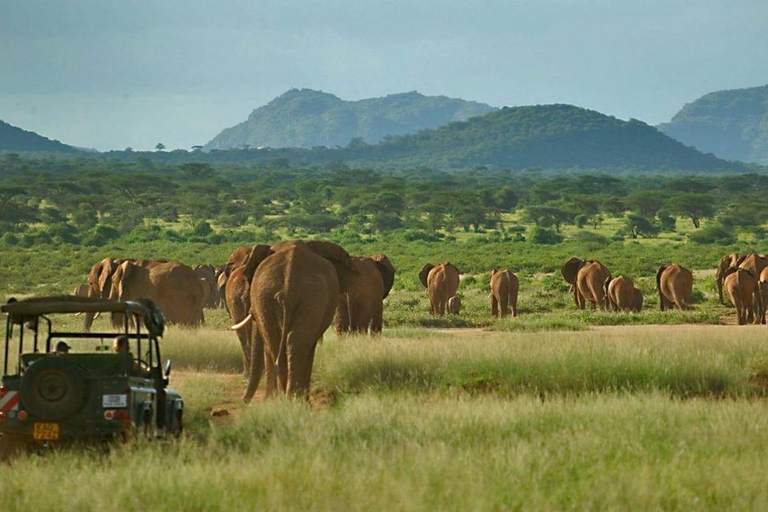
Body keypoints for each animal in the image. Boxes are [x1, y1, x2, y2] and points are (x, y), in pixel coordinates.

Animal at [236, 240, 356, 400]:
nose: (244, 400)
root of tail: (289, 287)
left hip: (296, 298)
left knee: (285, 344)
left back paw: (289, 398)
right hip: (275, 297)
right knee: (289, 344)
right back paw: (290, 398)